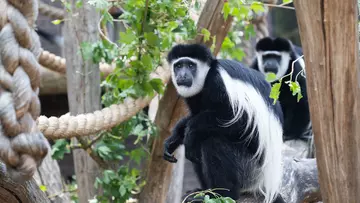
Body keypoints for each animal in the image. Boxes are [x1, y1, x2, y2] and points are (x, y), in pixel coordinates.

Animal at [165, 43, 286, 202]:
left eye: (191, 65)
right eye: (178, 66)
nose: (182, 75)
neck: (207, 76)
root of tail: (265, 183)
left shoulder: (219, 83)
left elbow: (239, 122)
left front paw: (191, 130)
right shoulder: (195, 97)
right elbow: (194, 117)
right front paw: (173, 139)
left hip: (250, 171)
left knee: (213, 142)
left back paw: (221, 195)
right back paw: (203, 191)